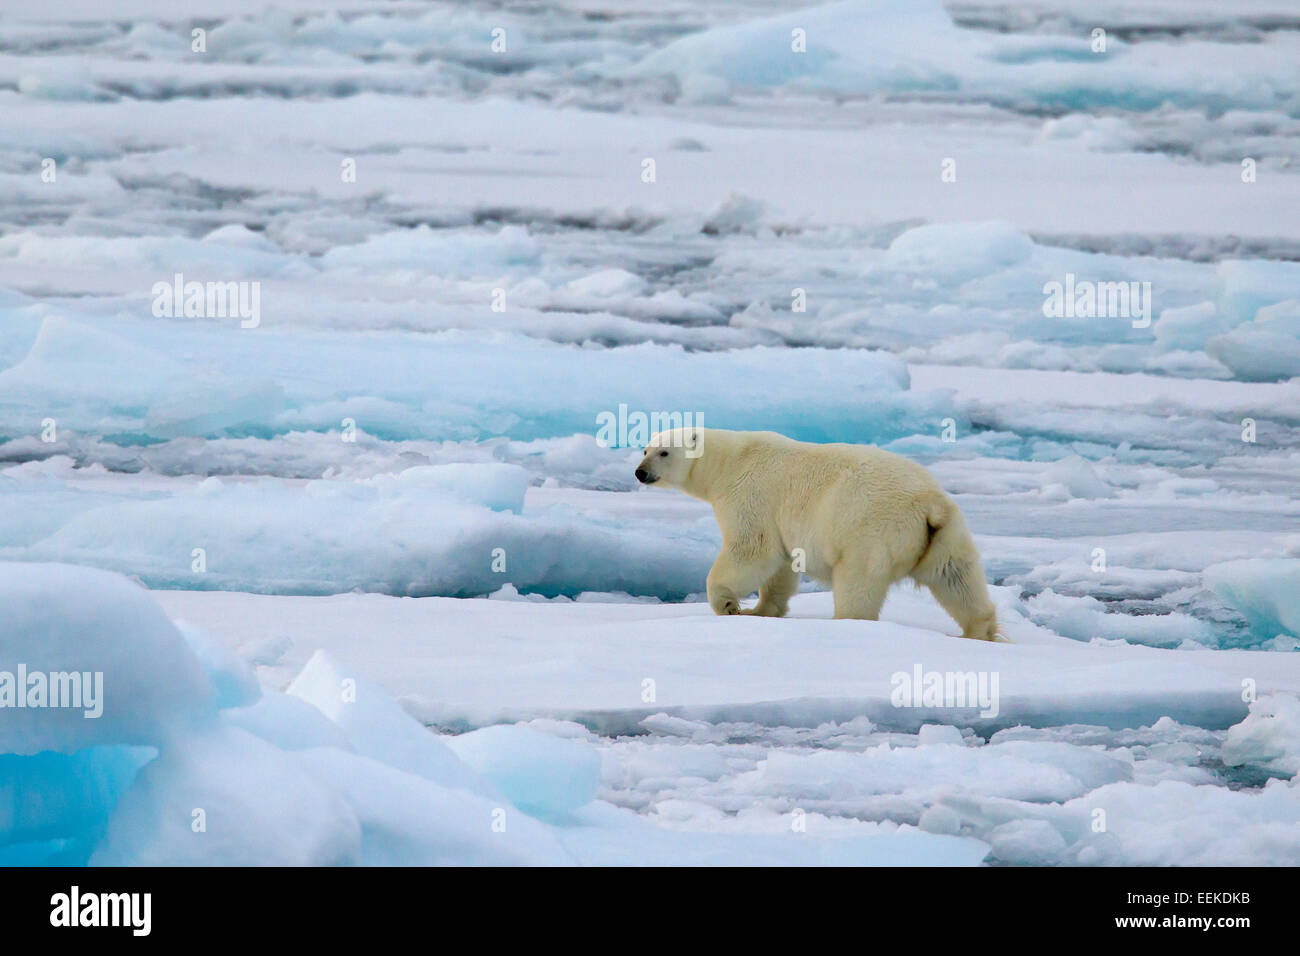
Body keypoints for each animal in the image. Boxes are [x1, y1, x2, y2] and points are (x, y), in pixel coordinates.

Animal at [634, 429, 998, 642]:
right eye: (644, 449)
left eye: (663, 452)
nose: (640, 473)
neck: (728, 460)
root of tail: (929, 501)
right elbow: (780, 566)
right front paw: (760, 611)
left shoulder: (749, 493)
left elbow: (751, 549)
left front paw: (728, 605)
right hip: (943, 532)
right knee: (956, 578)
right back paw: (980, 631)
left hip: (870, 528)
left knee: (857, 581)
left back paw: (845, 621)